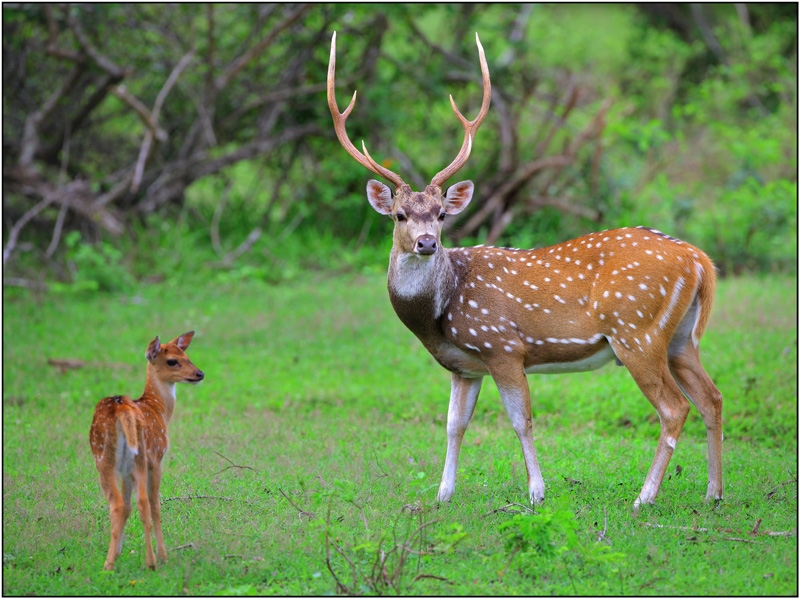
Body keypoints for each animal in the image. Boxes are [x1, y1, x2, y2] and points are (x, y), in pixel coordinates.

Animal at [89, 332, 205, 572]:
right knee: (142, 502)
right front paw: (163, 555)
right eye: (172, 361)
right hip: (138, 457)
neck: (158, 409)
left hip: (107, 458)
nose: (200, 374)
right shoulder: (157, 458)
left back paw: (109, 563)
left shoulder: (124, 470)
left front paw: (119, 551)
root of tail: (121, 407)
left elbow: (127, 506)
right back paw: (150, 561)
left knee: (118, 504)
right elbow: (155, 505)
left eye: (187, 356)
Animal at [328, 32, 720, 508]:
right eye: (400, 215)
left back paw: (644, 498)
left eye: (441, 214)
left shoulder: (502, 346)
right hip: (680, 337)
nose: (427, 243)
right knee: (712, 397)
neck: (440, 313)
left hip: (636, 331)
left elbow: (521, 421)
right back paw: (713, 493)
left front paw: (536, 492)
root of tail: (700, 261)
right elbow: (454, 425)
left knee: (674, 407)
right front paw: (443, 494)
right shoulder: (464, 366)